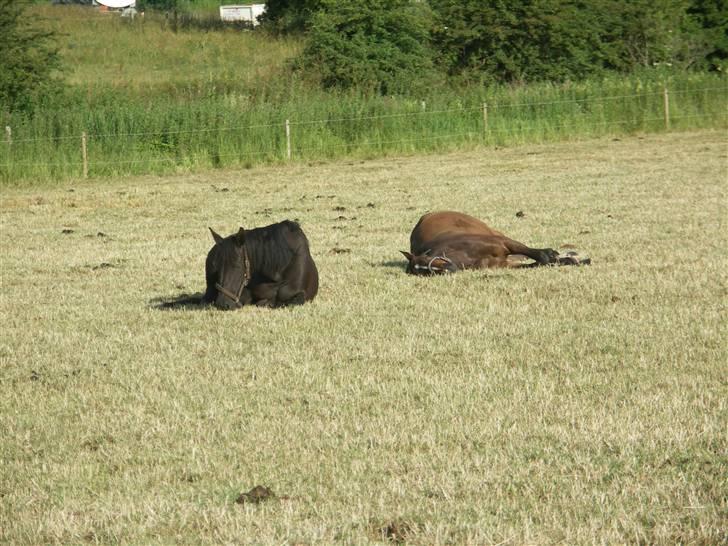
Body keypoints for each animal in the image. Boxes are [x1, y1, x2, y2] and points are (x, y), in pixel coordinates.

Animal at [400, 210, 588, 274]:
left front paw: (557, 255)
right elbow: (538, 263)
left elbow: (540, 255)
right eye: (423, 273)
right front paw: (569, 260)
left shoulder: (504, 242)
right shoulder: (503, 264)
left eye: (426, 260)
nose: (446, 269)